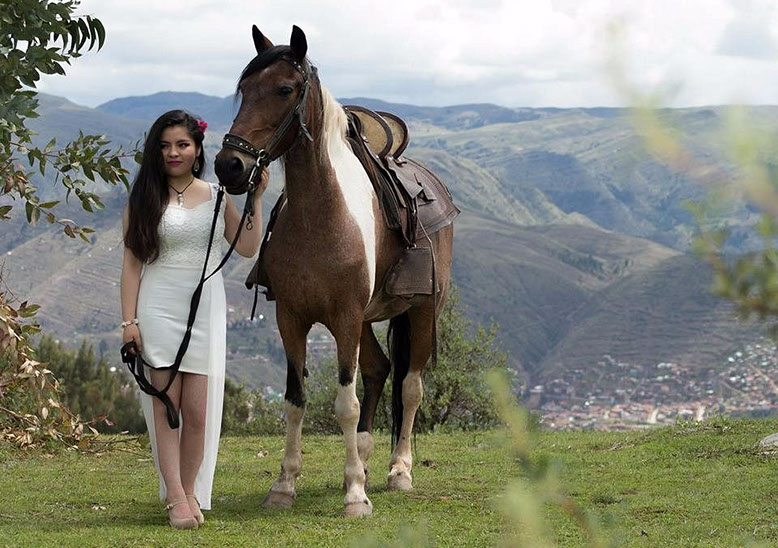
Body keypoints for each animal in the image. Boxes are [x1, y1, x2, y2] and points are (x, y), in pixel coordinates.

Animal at [214, 25, 454, 517]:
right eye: (244, 90)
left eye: (284, 89)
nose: (230, 165)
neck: (321, 216)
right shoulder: (291, 318)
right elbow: (295, 401)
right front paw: (284, 485)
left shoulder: (343, 318)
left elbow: (346, 402)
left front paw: (356, 495)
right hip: (364, 321)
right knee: (381, 369)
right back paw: (362, 458)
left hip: (420, 313)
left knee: (411, 386)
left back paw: (398, 470)